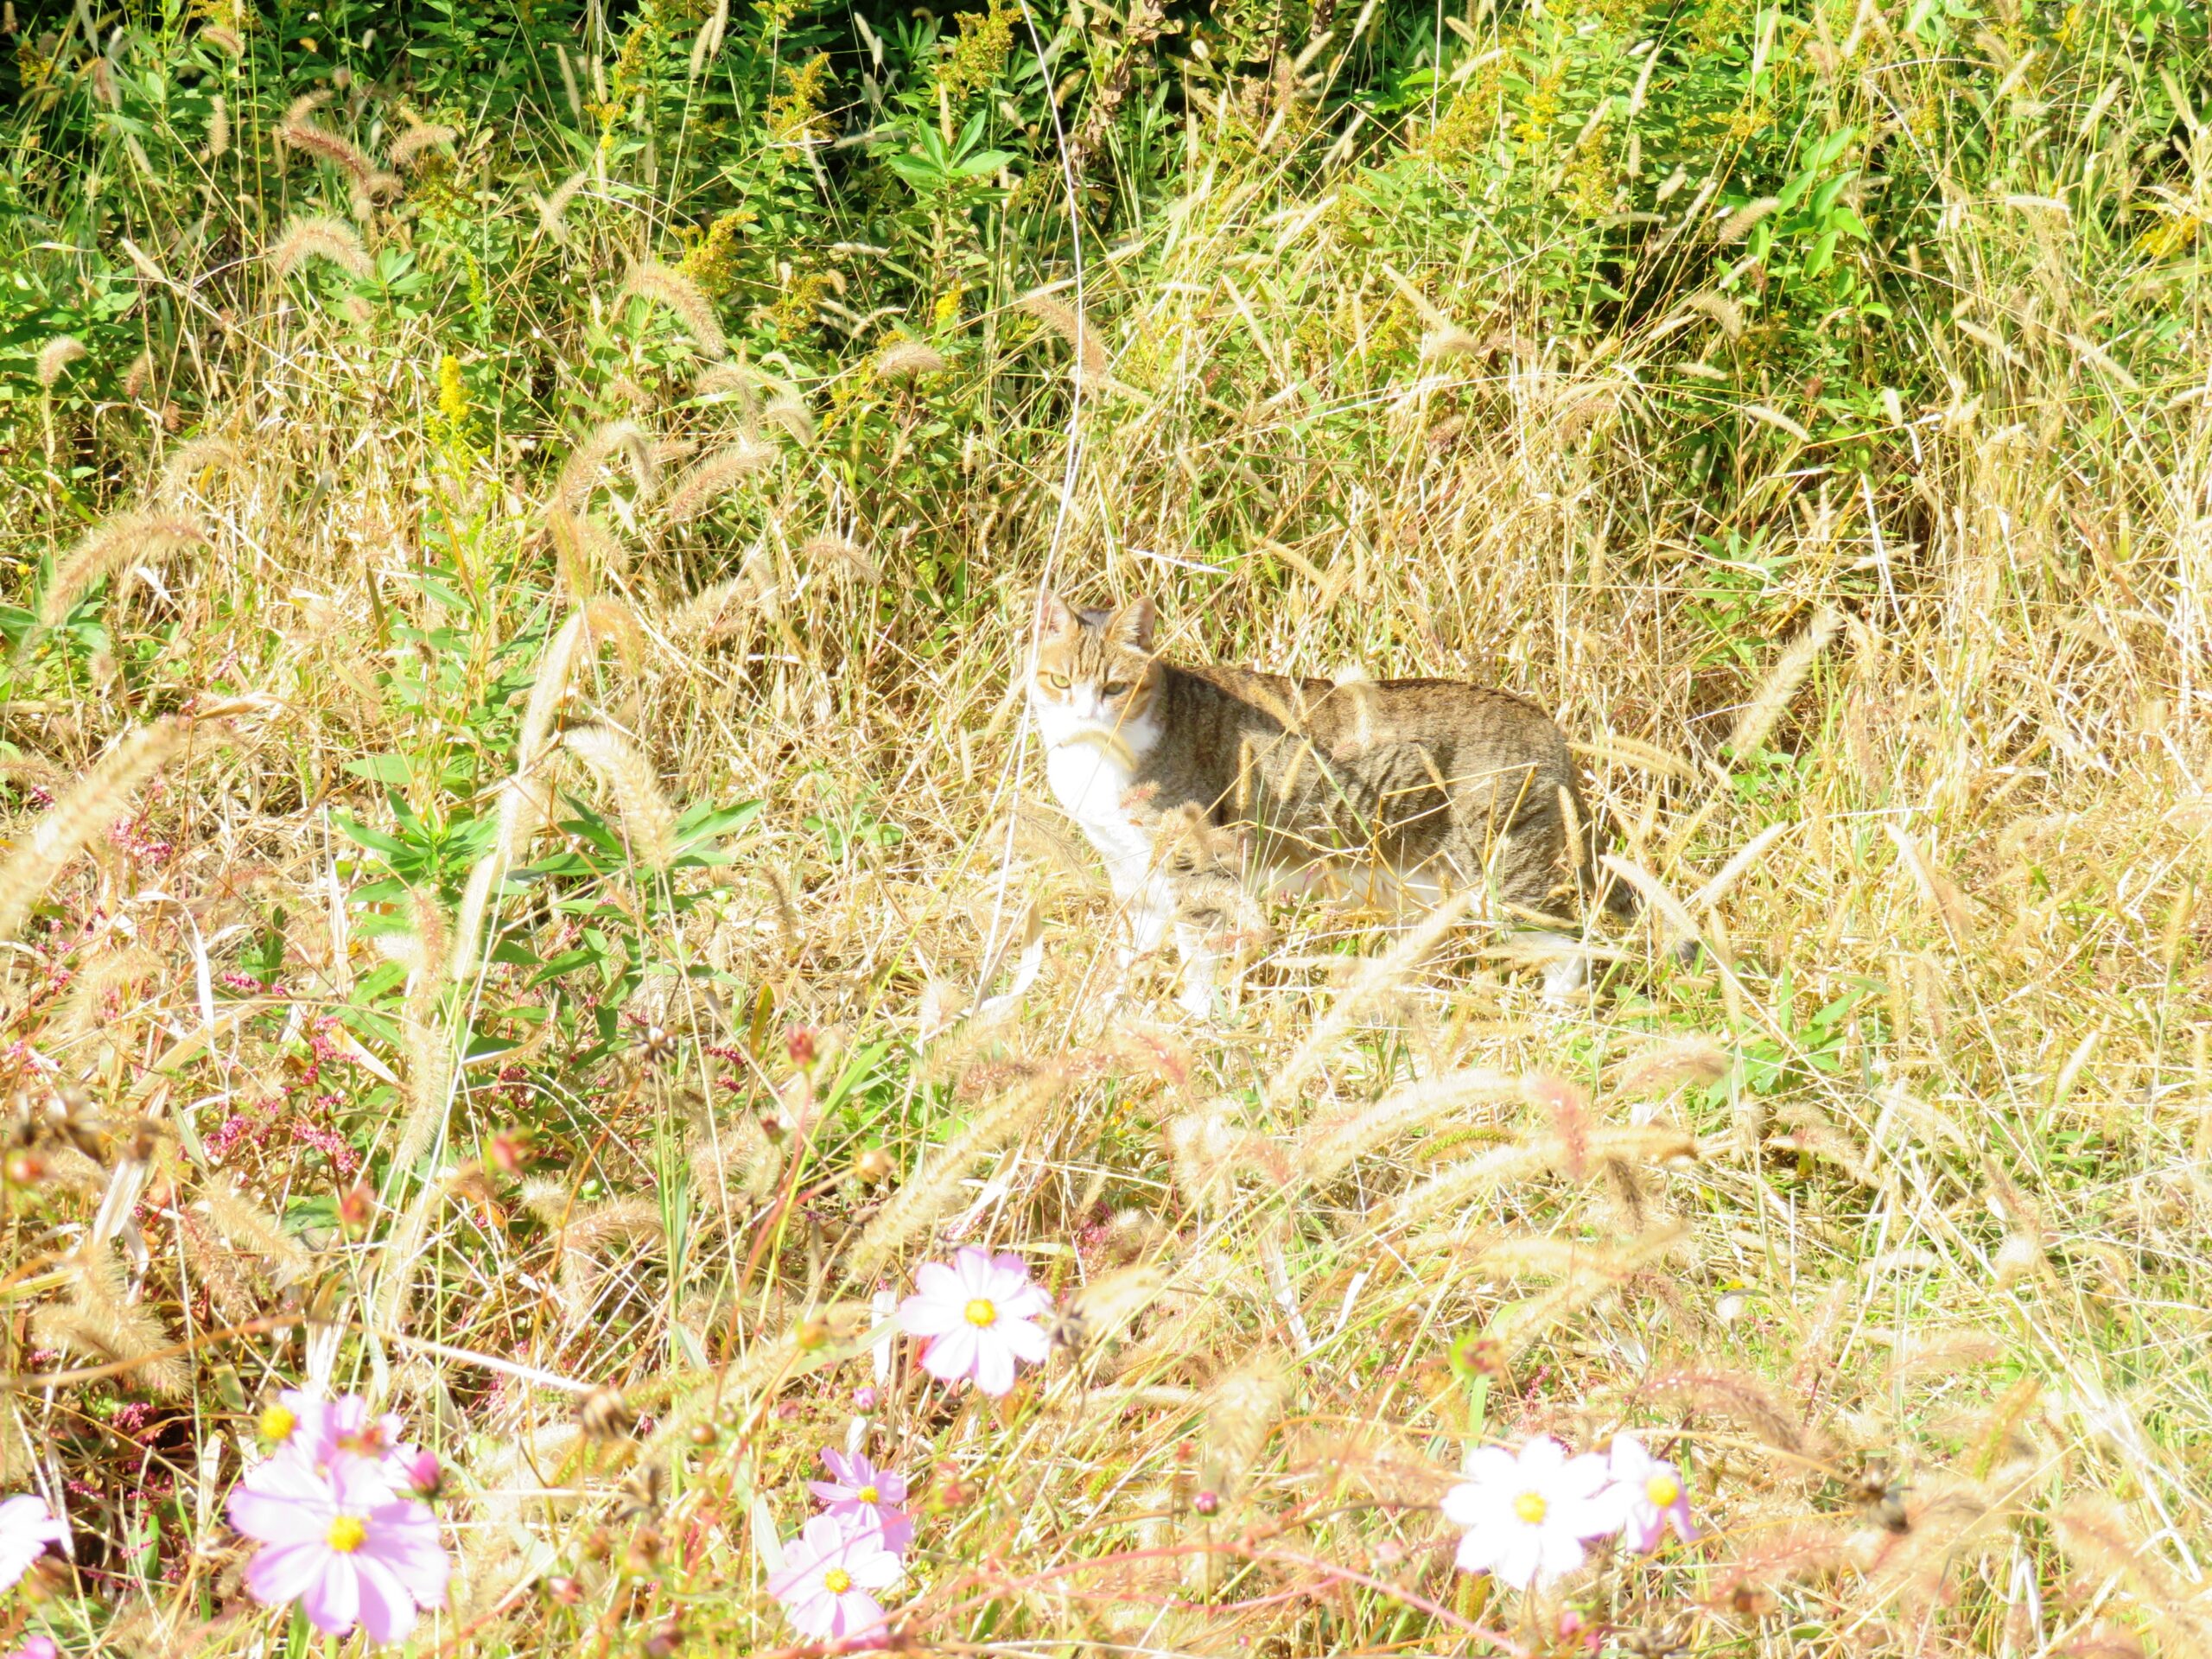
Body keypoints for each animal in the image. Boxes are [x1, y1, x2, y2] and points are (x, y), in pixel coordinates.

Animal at [1026, 593, 1637, 1021]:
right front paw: (1108, 1013)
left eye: (1115, 688)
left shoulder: (1194, 868)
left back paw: (1555, 1020)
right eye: (1059, 681)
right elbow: (1131, 954)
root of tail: (1547, 724)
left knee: (1572, 944)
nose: (1086, 714)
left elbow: (1200, 955)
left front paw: (1196, 1021)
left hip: (1502, 879)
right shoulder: (1132, 873)